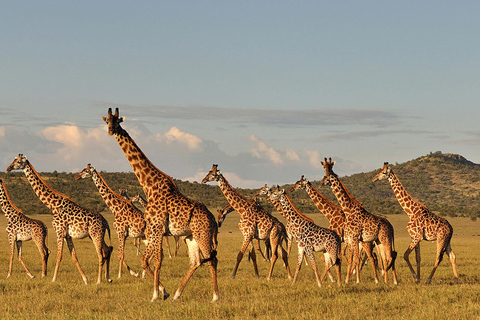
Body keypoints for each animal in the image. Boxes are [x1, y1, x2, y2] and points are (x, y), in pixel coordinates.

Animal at [6, 154, 112, 284]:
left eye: (18, 161)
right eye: (14, 159)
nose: (8, 168)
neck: (53, 206)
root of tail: (105, 222)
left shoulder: (59, 231)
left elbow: (59, 255)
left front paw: (53, 279)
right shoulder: (67, 235)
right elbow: (74, 256)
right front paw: (85, 279)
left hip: (95, 234)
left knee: (101, 255)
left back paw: (98, 281)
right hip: (96, 235)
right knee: (107, 250)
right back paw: (108, 278)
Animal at [104, 108, 220, 302]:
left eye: (118, 121)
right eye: (107, 121)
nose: (111, 131)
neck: (149, 186)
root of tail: (213, 219)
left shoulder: (156, 228)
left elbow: (151, 261)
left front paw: (156, 294)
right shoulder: (155, 230)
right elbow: (151, 260)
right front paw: (163, 292)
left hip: (202, 234)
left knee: (212, 259)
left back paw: (215, 297)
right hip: (190, 236)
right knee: (196, 261)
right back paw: (177, 294)